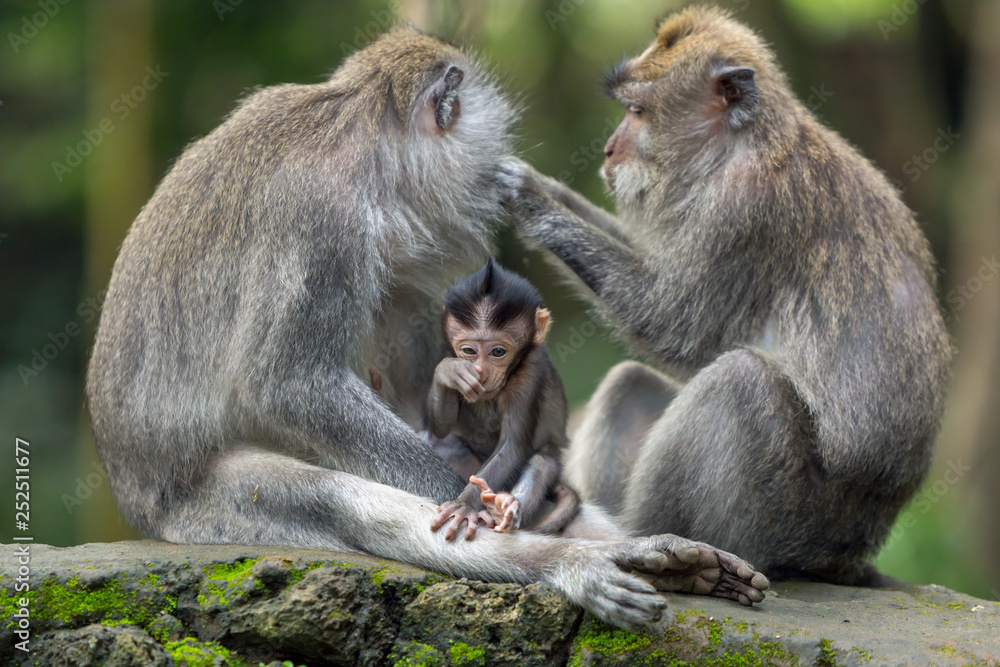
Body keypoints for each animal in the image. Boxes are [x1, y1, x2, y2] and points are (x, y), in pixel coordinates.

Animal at [420, 258, 580, 540]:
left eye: (498, 352)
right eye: (469, 351)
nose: (481, 372)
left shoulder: (531, 372)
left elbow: (512, 446)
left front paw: (464, 505)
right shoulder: (445, 350)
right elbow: (439, 428)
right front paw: (449, 371)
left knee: (542, 463)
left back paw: (503, 507)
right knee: (446, 443)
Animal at [504, 7, 948, 588]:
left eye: (638, 112)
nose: (608, 149)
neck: (741, 144)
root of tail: (848, 557)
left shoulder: (743, 210)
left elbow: (676, 325)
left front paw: (530, 200)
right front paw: (543, 184)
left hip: (787, 523)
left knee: (741, 382)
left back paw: (653, 542)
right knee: (630, 382)